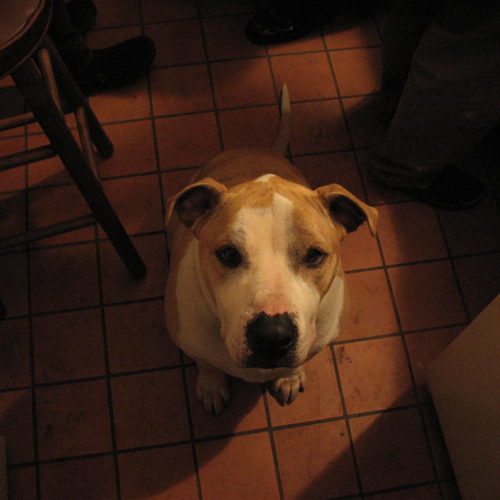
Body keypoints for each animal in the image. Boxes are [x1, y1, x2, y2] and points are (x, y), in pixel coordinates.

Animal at [165, 86, 378, 414]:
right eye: (228, 254)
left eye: (314, 255)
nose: (273, 336)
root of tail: (264, 150)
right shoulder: (186, 336)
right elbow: (206, 362)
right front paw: (211, 385)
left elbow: (298, 361)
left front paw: (289, 377)